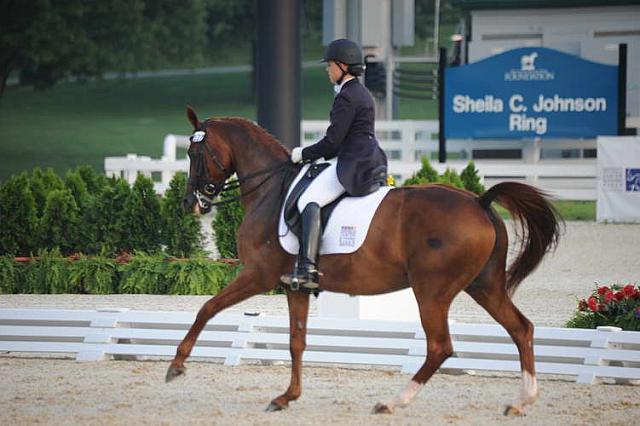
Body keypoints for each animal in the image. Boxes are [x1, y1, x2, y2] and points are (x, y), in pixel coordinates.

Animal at [165, 106, 560, 416]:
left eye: (195, 153)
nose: (189, 203)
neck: (272, 190)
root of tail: (479, 201)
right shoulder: (294, 286)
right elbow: (296, 340)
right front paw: (287, 397)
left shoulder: (257, 275)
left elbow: (207, 308)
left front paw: (177, 366)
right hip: (484, 286)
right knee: (520, 328)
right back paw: (521, 402)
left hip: (432, 290)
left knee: (440, 346)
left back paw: (392, 402)